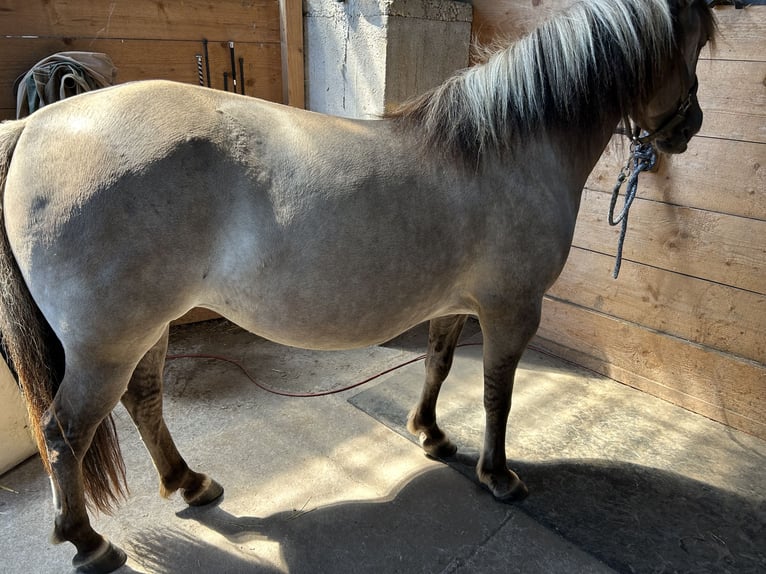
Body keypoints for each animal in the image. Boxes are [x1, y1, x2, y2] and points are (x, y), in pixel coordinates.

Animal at [0, 0, 716, 572]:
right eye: (693, 46)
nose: (692, 127)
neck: (505, 148)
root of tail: (38, 125)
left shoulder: (456, 304)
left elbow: (438, 365)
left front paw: (431, 436)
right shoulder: (512, 310)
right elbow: (498, 395)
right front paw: (498, 475)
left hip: (145, 331)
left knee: (143, 401)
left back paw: (190, 483)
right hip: (108, 345)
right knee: (65, 433)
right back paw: (89, 542)